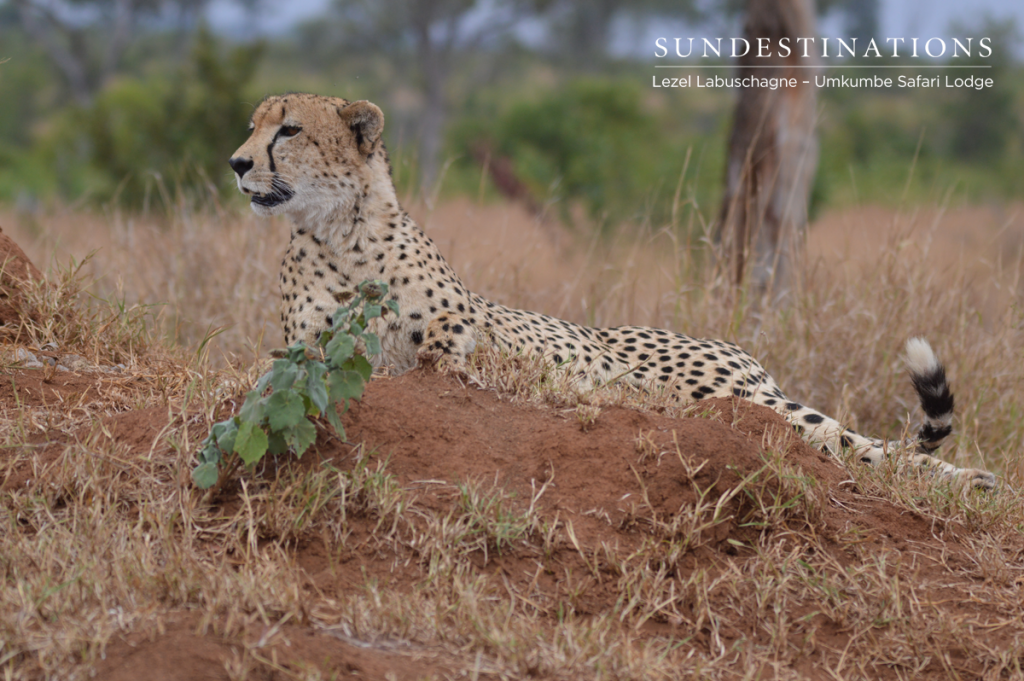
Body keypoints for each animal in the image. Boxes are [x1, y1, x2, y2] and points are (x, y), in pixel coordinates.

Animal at [228, 94, 995, 489]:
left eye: (287, 129)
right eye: (252, 125)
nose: (236, 162)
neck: (341, 229)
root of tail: (739, 350)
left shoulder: (460, 325)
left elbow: (446, 354)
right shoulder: (306, 350)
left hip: (731, 395)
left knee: (851, 439)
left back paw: (971, 482)